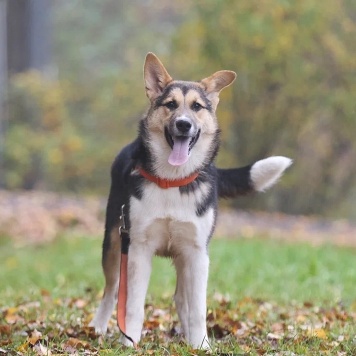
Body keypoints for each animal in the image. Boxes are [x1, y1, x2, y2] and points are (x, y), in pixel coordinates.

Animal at [89, 52, 292, 348]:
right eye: (170, 104)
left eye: (197, 107)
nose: (183, 124)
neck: (172, 181)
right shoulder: (138, 248)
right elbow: (134, 304)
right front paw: (130, 343)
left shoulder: (197, 253)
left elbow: (197, 307)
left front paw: (201, 345)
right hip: (115, 241)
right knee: (112, 288)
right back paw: (98, 326)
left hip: (183, 257)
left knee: (181, 299)